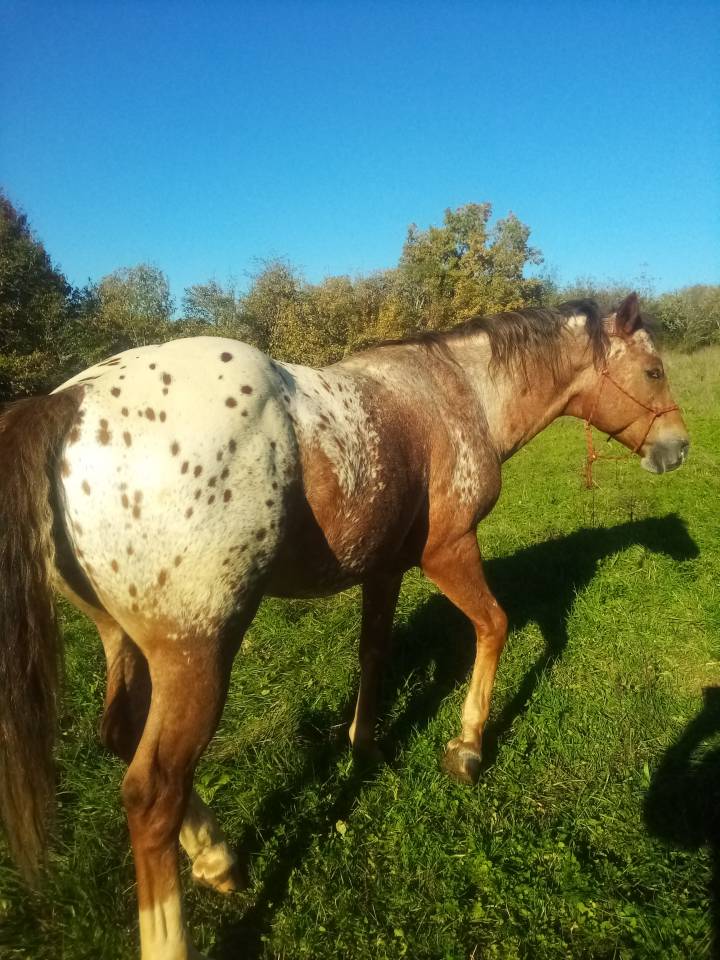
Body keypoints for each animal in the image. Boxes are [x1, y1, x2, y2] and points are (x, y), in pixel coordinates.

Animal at [0, 292, 688, 959]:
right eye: (653, 370)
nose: (678, 447)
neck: (456, 391)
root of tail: (66, 403)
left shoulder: (384, 569)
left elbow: (373, 651)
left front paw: (365, 745)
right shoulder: (449, 552)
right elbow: (494, 625)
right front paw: (467, 747)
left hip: (124, 643)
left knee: (120, 735)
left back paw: (218, 858)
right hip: (195, 655)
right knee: (152, 792)